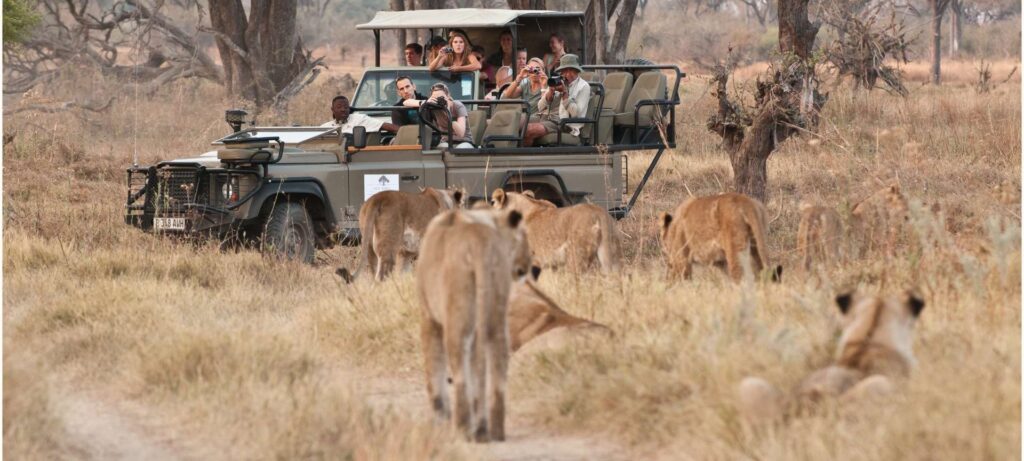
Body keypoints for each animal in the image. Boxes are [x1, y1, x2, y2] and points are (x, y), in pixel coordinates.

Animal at [335, 186, 464, 280]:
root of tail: (377, 198)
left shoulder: (404, 254)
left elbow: (403, 275)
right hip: (388, 249)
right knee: (380, 277)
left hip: (370, 249)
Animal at [413, 206, 528, 440]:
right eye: (524, 238)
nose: (533, 267)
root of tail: (479, 243)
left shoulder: (429, 318)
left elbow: (434, 368)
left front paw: (440, 418)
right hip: (495, 315)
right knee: (498, 363)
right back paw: (493, 430)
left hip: (456, 317)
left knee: (460, 376)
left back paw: (463, 428)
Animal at [489, 188, 622, 274]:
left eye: (493, 202)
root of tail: (599, 213)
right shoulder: (550, 264)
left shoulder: (534, 261)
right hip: (612, 257)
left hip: (576, 257)